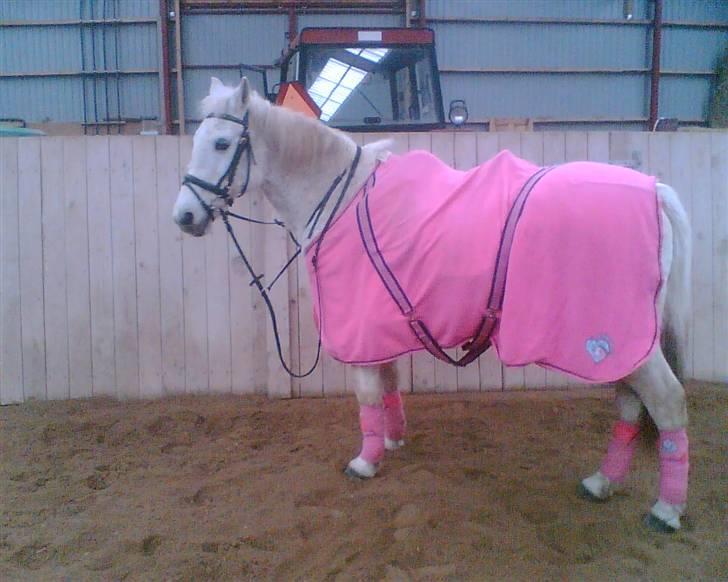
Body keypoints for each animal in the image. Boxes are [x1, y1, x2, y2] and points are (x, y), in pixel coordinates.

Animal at [173, 77, 693, 533]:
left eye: (222, 143)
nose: (185, 216)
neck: (341, 201)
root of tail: (653, 190)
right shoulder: (377, 328)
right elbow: (388, 386)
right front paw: (392, 440)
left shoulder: (359, 329)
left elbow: (367, 396)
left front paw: (365, 462)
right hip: (625, 345)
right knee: (629, 406)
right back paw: (602, 483)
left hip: (621, 341)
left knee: (666, 404)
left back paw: (665, 511)